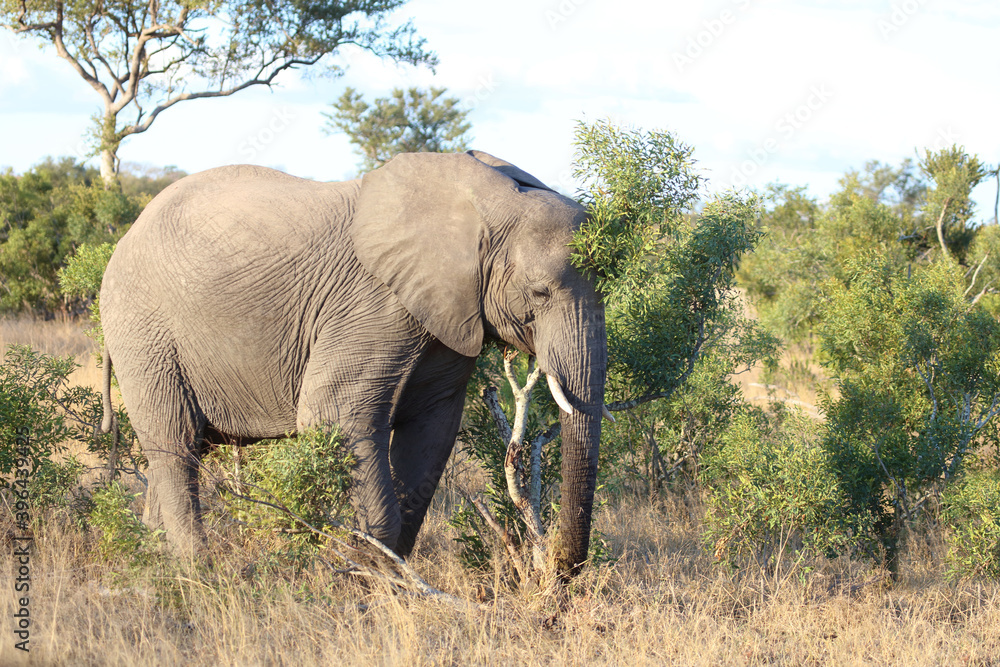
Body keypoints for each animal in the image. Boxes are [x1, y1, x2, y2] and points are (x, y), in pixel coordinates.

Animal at [97, 151, 604, 576]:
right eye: (539, 292)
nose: (558, 568)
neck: (480, 202)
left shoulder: (450, 316)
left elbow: (431, 432)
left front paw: (384, 576)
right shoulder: (374, 305)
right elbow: (337, 417)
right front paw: (369, 580)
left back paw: (152, 562)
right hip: (144, 333)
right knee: (175, 445)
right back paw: (198, 573)